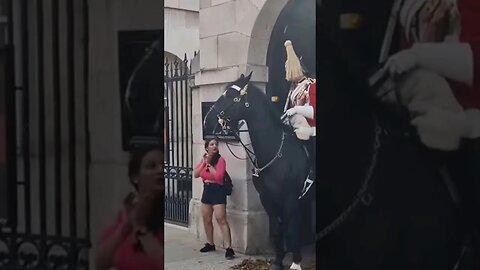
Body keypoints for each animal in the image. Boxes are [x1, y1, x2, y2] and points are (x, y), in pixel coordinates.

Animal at [203, 72, 314, 270]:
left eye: (231, 96)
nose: (206, 121)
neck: (276, 152)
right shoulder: (268, 199)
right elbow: (277, 230)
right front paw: (278, 262)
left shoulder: (290, 199)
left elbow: (291, 230)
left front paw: (296, 263)